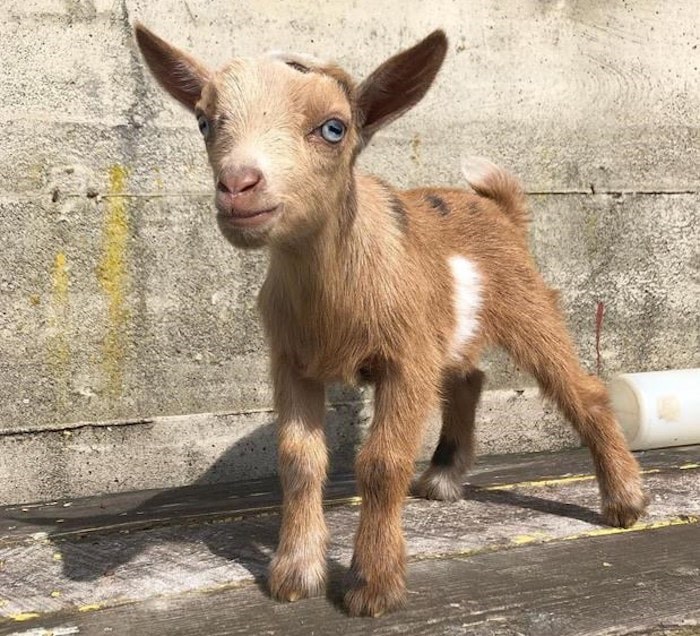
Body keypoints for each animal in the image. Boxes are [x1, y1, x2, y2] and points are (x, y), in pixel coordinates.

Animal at [134, 26, 648, 616]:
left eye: (334, 128)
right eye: (204, 121)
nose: (238, 186)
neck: (332, 293)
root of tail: (500, 209)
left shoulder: (404, 359)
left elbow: (381, 462)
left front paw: (373, 584)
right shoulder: (292, 362)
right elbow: (299, 459)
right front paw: (295, 572)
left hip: (527, 305)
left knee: (581, 390)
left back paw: (626, 500)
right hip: (445, 328)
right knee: (468, 378)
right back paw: (444, 476)